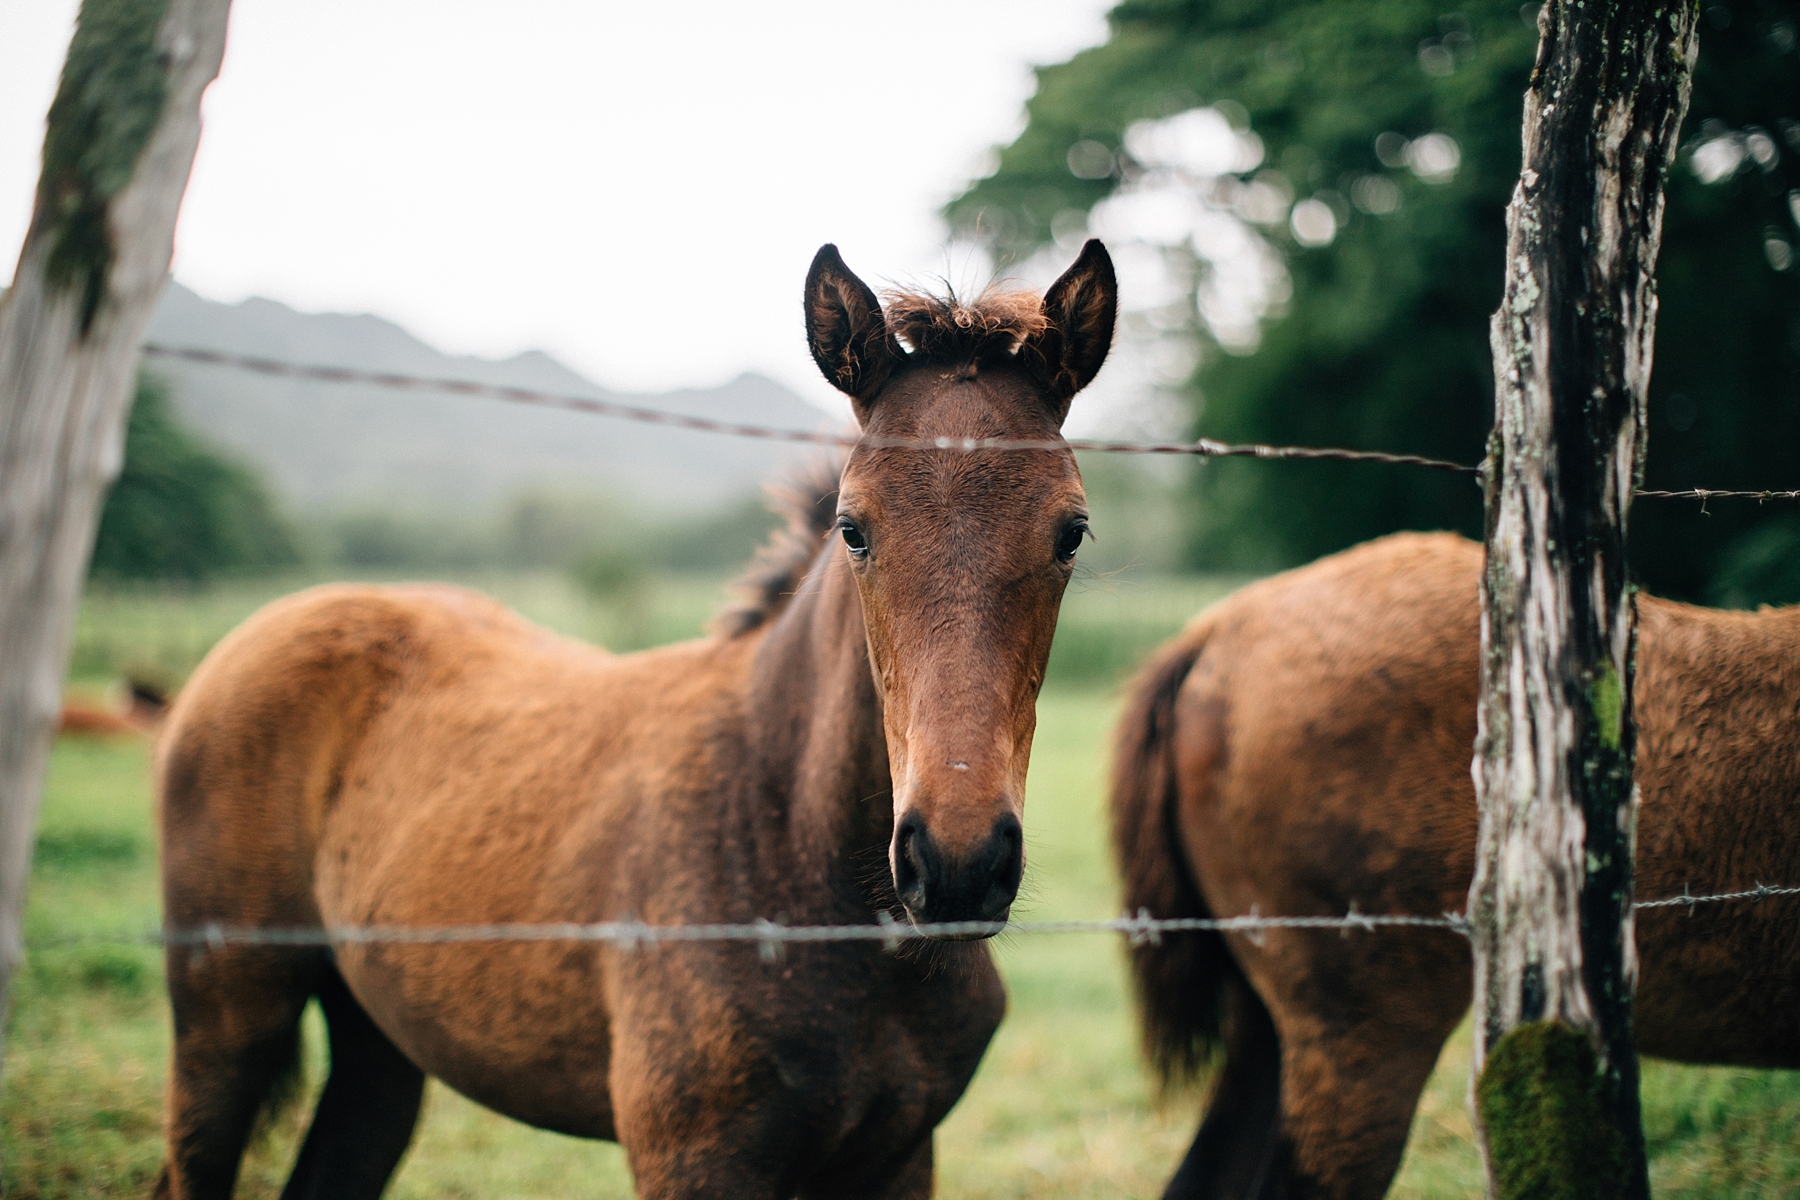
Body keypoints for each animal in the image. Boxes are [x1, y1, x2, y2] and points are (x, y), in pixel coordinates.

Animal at [154, 239, 1116, 1194]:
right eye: (853, 529)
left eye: (1071, 531)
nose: (955, 864)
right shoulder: (691, 1158)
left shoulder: (900, 1156)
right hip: (228, 1012)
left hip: (379, 1040)